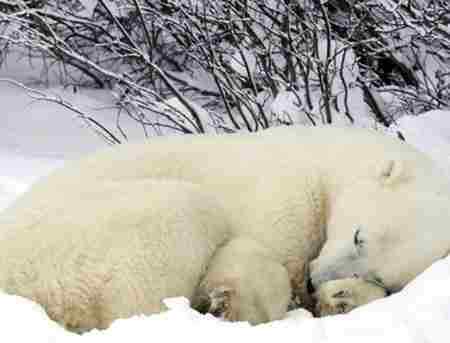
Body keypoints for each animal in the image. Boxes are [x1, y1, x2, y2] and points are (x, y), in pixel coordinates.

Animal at [2, 125, 450, 330]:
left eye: (379, 273)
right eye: (358, 235)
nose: (312, 280)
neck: (327, 162)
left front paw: (340, 297)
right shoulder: (284, 195)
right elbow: (257, 253)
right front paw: (233, 301)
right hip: (83, 237)